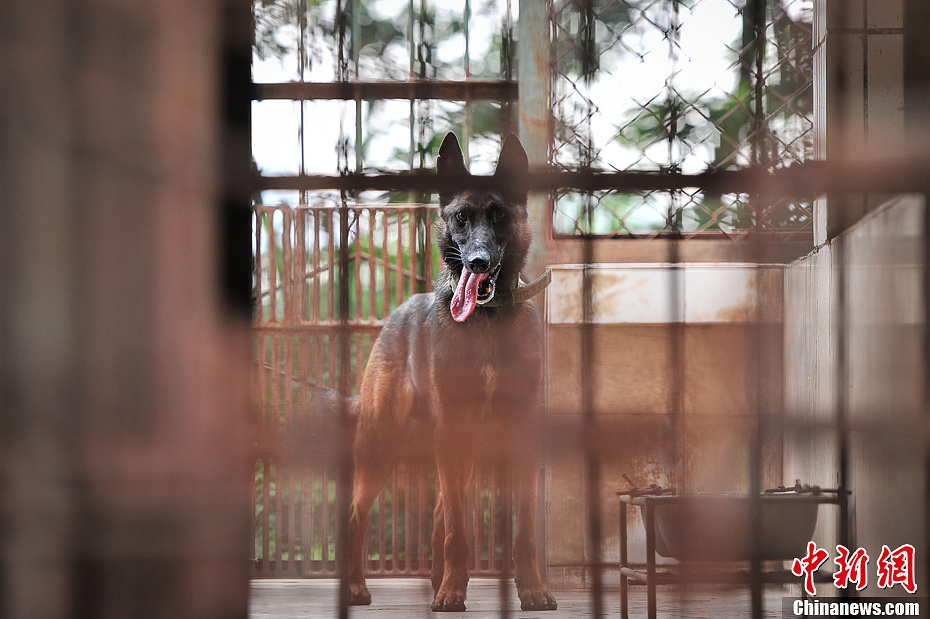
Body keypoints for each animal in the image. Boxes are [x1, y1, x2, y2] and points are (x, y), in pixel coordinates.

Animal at [342, 133, 556, 612]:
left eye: (499, 215)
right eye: (461, 217)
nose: (476, 262)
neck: (488, 319)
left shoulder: (522, 434)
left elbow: (524, 529)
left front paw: (533, 590)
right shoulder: (454, 432)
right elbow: (460, 528)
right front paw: (454, 591)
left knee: (441, 512)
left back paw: (438, 582)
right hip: (382, 445)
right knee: (357, 513)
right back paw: (357, 586)